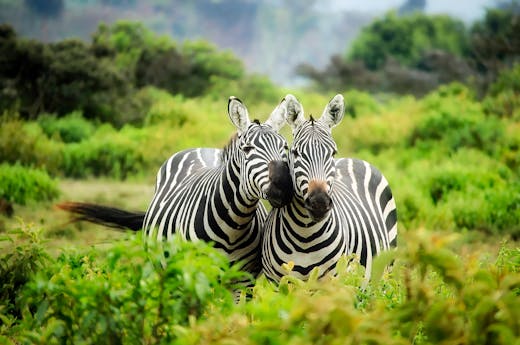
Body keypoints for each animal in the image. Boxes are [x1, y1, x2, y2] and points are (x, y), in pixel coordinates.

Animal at [58, 95, 292, 276]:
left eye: (285, 147)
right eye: (247, 149)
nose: (283, 186)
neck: (234, 225)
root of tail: (200, 148)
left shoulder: (244, 280)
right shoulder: (195, 273)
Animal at [260, 94, 398, 282]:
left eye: (333, 153)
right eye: (295, 153)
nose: (319, 203)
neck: (305, 236)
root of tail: (353, 159)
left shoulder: (332, 281)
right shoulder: (277, 282)